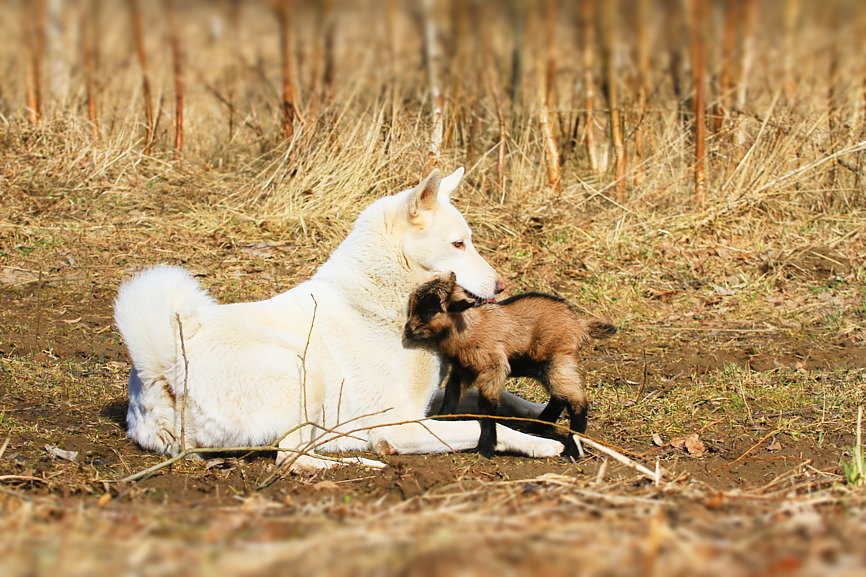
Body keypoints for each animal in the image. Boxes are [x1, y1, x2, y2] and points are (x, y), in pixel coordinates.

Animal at [113, 168, 560, 472]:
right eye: (458, 244)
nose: (502, 285)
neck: (384, 304)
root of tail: (160, 370)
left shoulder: (427, 404)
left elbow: (508, 400)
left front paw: (540, 413)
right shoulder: (402, 425)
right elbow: (488, 429)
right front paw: (540, 443)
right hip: (303, 370)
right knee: (291, 458)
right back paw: (364, 461)